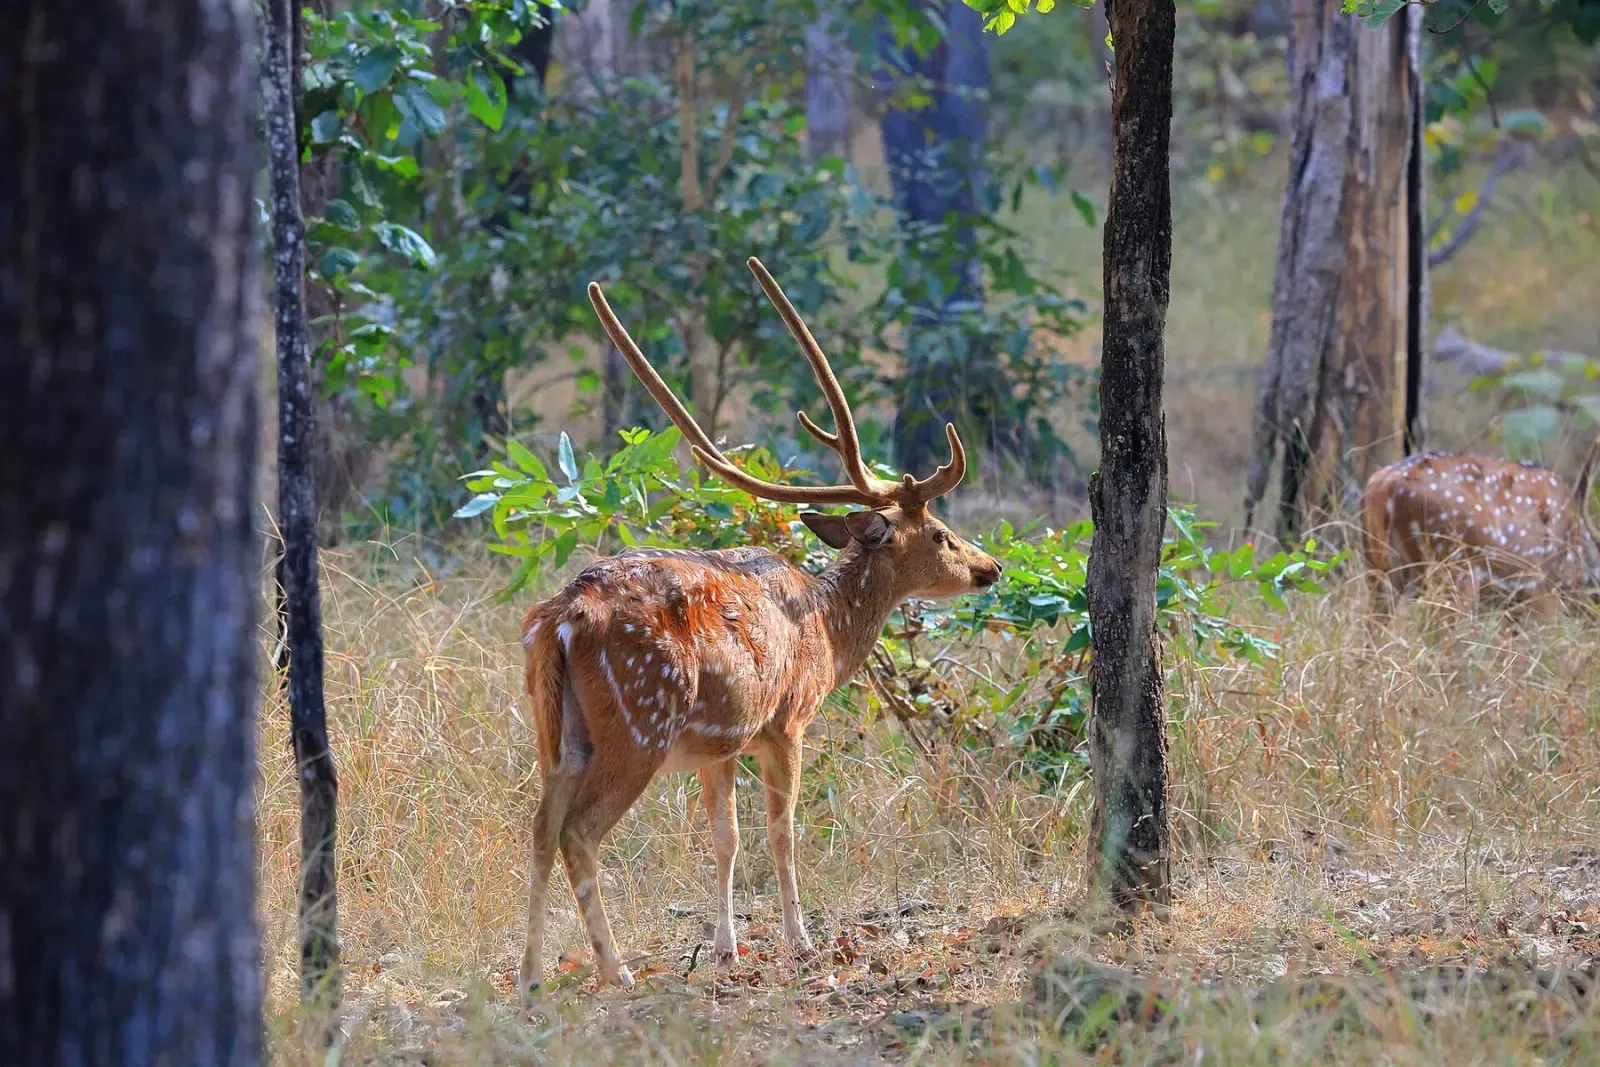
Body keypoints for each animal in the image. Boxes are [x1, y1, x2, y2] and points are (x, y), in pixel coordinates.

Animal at [516, 257, 1003, 999]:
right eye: (943, 534)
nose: (990, 567)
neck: (827, 634)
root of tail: (561, 618)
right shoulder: (786, 719)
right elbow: (782, 831)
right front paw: (800, 942)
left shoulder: (718, 744)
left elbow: (726, 839)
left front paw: (726, 949)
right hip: (639, 723)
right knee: (579, 831)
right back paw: (615, 967)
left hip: (557, 725)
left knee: (540, 826)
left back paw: (531, 974)